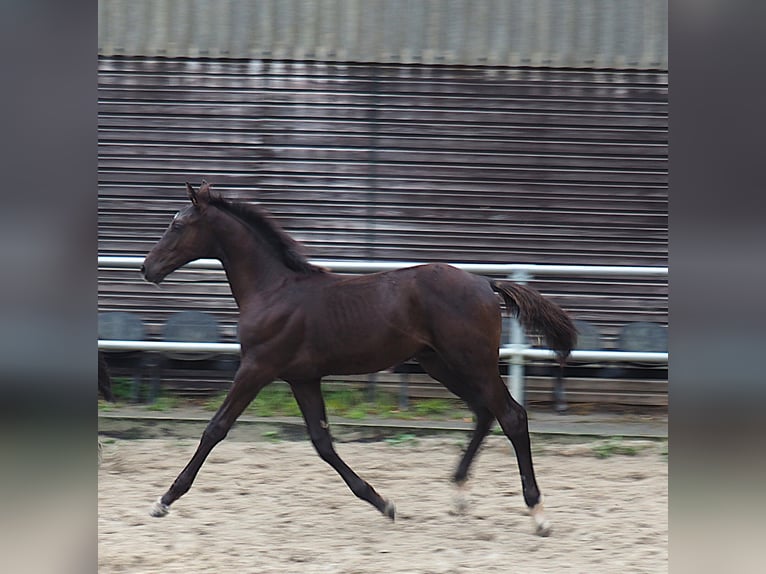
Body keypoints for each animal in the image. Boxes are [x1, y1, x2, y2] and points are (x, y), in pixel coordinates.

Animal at [141, 181, 576, 536]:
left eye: (177, 225)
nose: (148, 268)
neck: (273, 289)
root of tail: (485, 283)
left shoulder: (257, 367)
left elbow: (215, 429)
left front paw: (163, 500)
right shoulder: (302, 377)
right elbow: (322, 443)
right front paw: (383, 503)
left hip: (472, 362)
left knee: (511, 416)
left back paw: (538, 514)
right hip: (440, 364)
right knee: (485, 413)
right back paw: (458, 494)